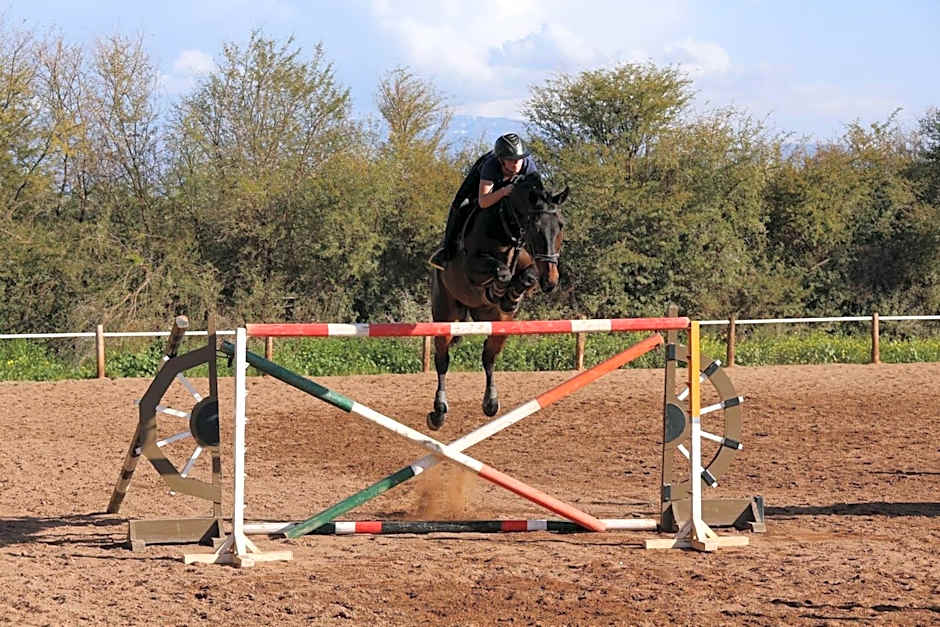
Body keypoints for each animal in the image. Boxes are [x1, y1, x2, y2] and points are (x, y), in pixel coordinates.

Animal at [427, 171, 569, 430]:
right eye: (535, 228)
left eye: (561, 226)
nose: (551, 281)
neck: (508, 228)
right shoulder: (472, 267)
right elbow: (501, 271)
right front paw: (499, 289)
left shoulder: (529, 262)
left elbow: (528, 275)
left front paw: (511, 296)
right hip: (446, 315)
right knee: (443, 358)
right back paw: (438, 411)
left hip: (498, 324)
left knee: (488, 357)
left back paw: (490, 402)